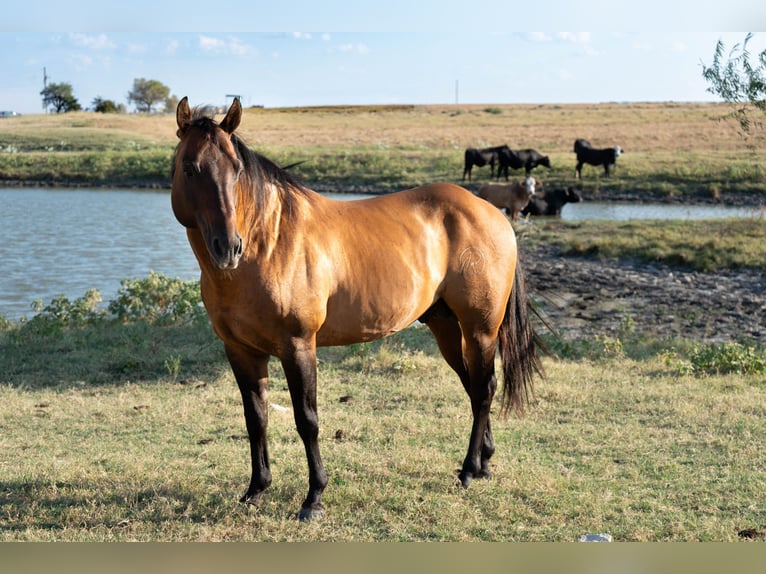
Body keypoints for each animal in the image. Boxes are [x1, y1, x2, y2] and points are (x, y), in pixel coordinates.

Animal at [171, 97, 543, 521]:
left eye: (236, 169)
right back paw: (482, 464)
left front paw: (314, 498)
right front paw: (255, 489)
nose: (228, 247)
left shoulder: (298, 347)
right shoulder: (241, 351)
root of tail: (493, 212)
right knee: (476, 385)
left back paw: (467, 471)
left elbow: (307, 420)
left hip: (480, 329)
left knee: (483, 389)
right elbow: (256, 419)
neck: (268, 244)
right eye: (189, 167)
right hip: (447, 328)